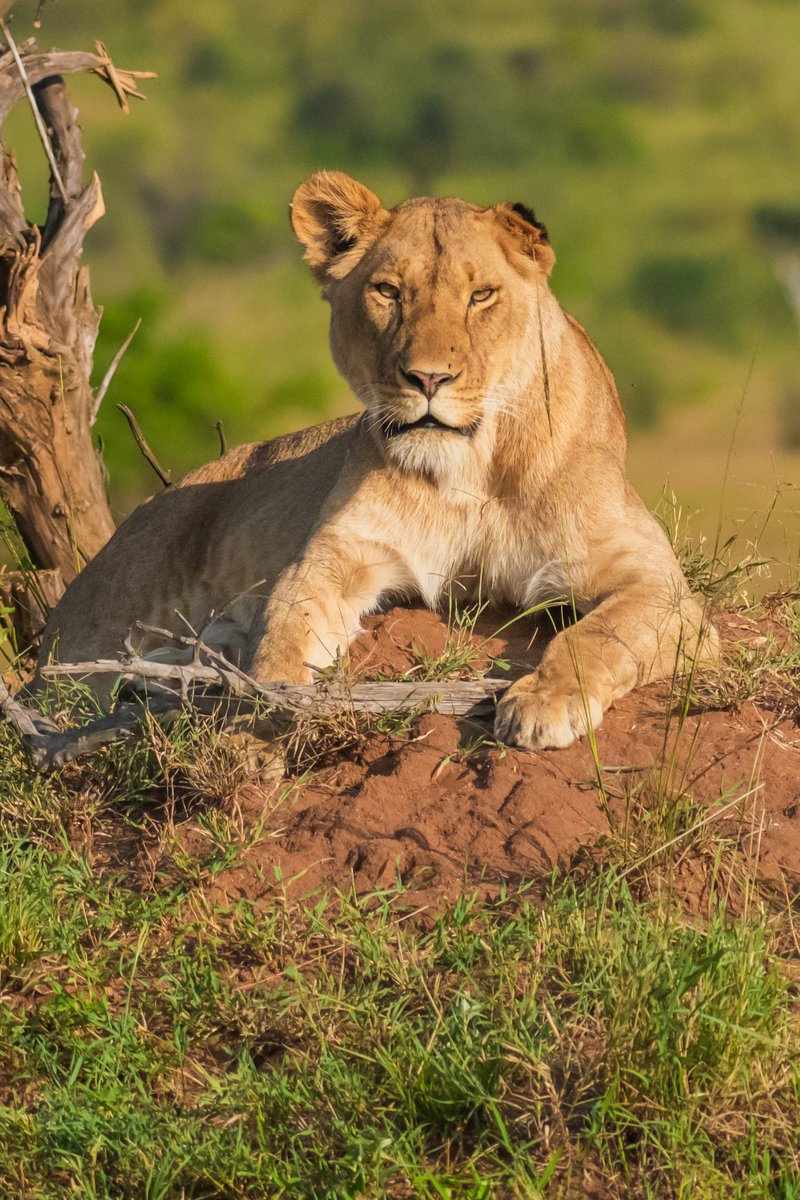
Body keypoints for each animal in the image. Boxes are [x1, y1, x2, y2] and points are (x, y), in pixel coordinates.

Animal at [37, 170, 716, 749]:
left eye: (481, 296)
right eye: (389, 291)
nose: (429, 378)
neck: (472, 468)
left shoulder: (657, 585)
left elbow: (593, 635)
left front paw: (543, 705)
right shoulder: (334, 556)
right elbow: (285, 633)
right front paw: (271, 704)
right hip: (93, 639)